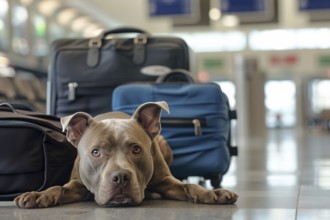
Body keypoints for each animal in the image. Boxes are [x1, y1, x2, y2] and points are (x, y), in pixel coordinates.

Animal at [14, 101, 237, 208]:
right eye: (96, 152)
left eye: (136, 149)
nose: (120, 177)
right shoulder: (77, 184)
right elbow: (58, 187)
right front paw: (38, 194)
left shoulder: (167, 181)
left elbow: (188, 185)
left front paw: (212, 193)